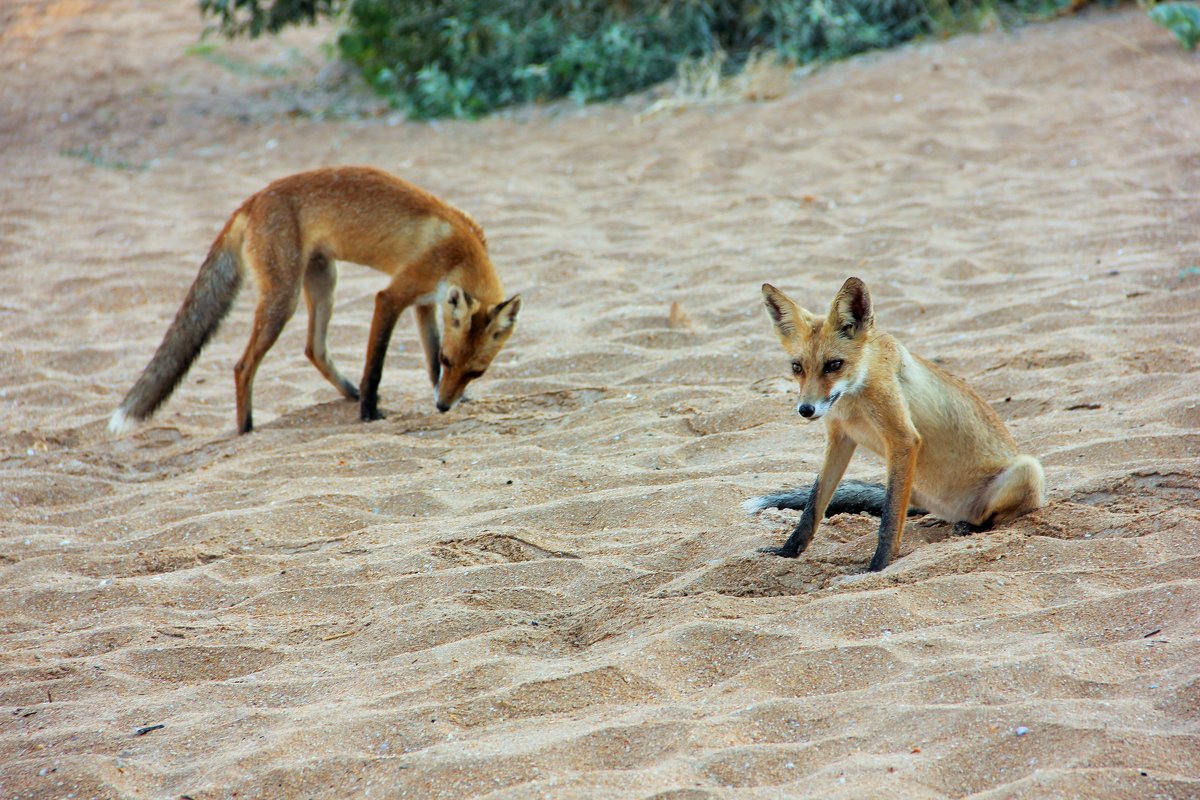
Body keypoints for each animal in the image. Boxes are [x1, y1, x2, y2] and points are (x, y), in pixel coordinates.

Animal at [111, 165, 520, 434]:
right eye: (452, 361)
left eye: (475, 372)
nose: (443, 406)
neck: (460, 249)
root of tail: (253, 198)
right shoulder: (391, 297)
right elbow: (376, 365)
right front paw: (369, 414)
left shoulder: (424, 303)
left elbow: (428, 359)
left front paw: (445, 397)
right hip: (284, 299)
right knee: (243, 366)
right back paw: (247, 429)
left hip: (325, 282)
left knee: (314, 348)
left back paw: (348, 392)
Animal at [744, 278, 1046, 573]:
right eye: (797, 367)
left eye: (834, 365)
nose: (806, 410)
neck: (854, 399)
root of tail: (956, 510)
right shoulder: (840, 438)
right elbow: (813, 505)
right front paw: (788, 551)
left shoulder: (903, 439)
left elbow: (889, 518)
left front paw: (878, 566)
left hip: (1028, 470)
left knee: (994, 518)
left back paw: (970, 527)